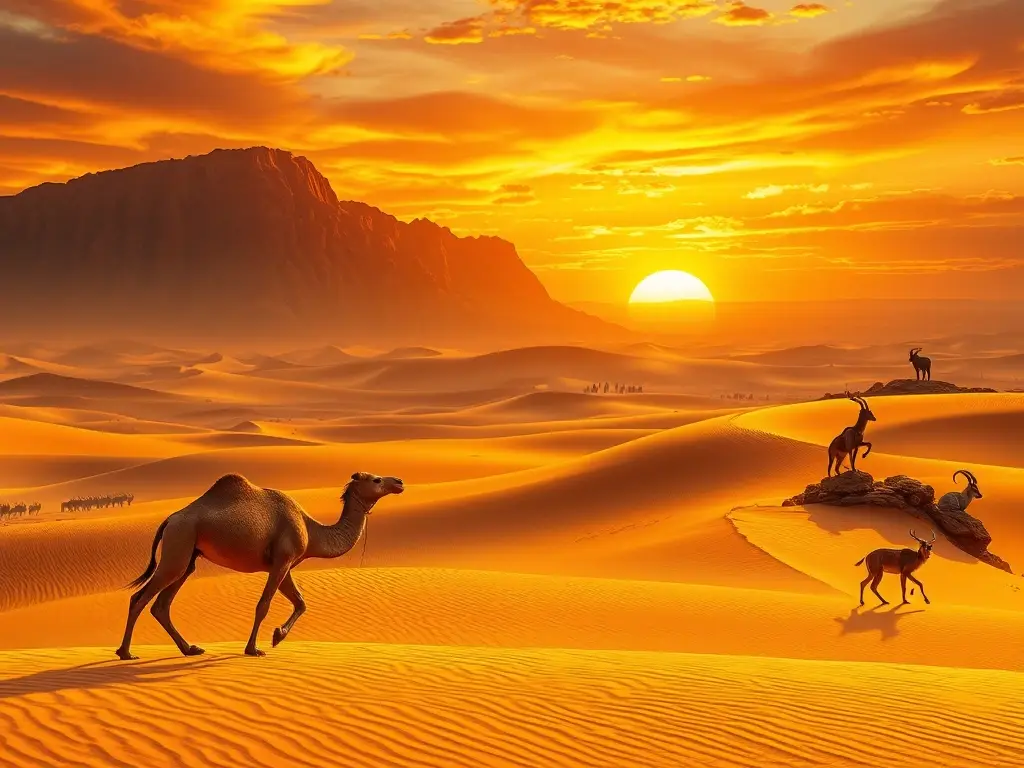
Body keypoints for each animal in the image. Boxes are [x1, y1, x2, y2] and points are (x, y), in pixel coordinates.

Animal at [115, 471, 404, 660]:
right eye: (376, 480)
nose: (399, 482)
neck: (312, 531)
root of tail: (169, 519)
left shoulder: (285, 564)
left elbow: (301, 602)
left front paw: (277, 636)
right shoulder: (283, 559)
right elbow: (263, 605)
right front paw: (255, 648)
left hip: (187, 557)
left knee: (162, 605)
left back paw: (189, 649)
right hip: (179, 545)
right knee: (140, 597)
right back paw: (126, 653)